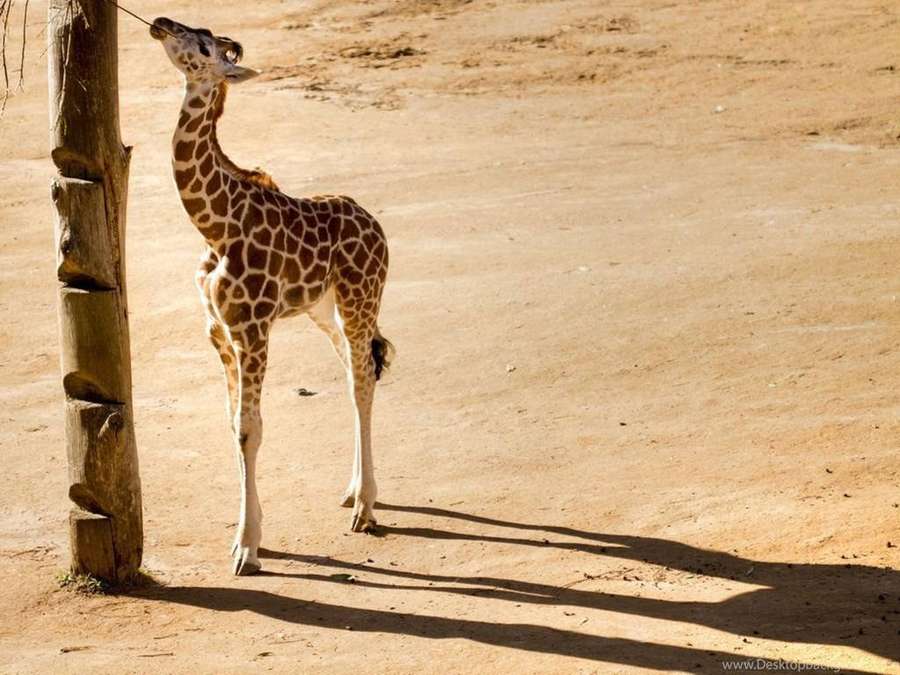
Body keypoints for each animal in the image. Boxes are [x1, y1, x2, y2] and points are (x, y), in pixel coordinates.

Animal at [150, 17, 393, 575]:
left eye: (203, 46)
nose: (161, 24)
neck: (215, 226)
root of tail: (376, 226)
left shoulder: (253, 327)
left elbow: (250, 429)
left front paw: (248, 547)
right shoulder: (218, 332)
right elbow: (232, 424)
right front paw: (245, 536)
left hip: (360, 298)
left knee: (363, 382)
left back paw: (366, 508)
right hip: (325, 310)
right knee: (355, 371)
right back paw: (352, 492)